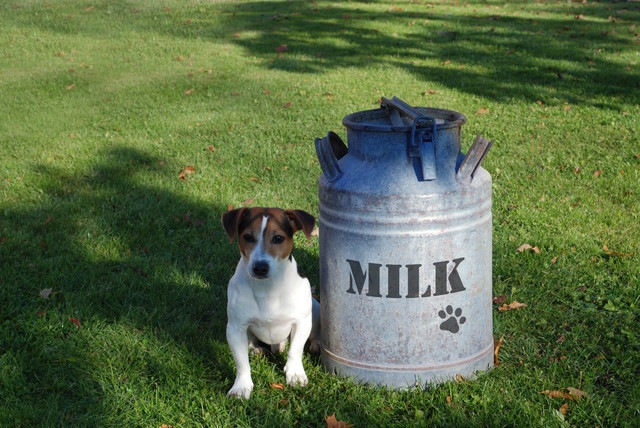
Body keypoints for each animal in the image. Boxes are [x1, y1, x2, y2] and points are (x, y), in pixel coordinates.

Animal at [222, 206, 320, 400]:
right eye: (248, 237)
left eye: (278, 238)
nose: (260, 268)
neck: (268, 288)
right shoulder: (235, 328)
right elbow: (241, 362)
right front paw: (241, 386)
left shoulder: (302, 322)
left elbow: (295, 350)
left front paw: (295, 374)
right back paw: (257, 349)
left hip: (316, 307)